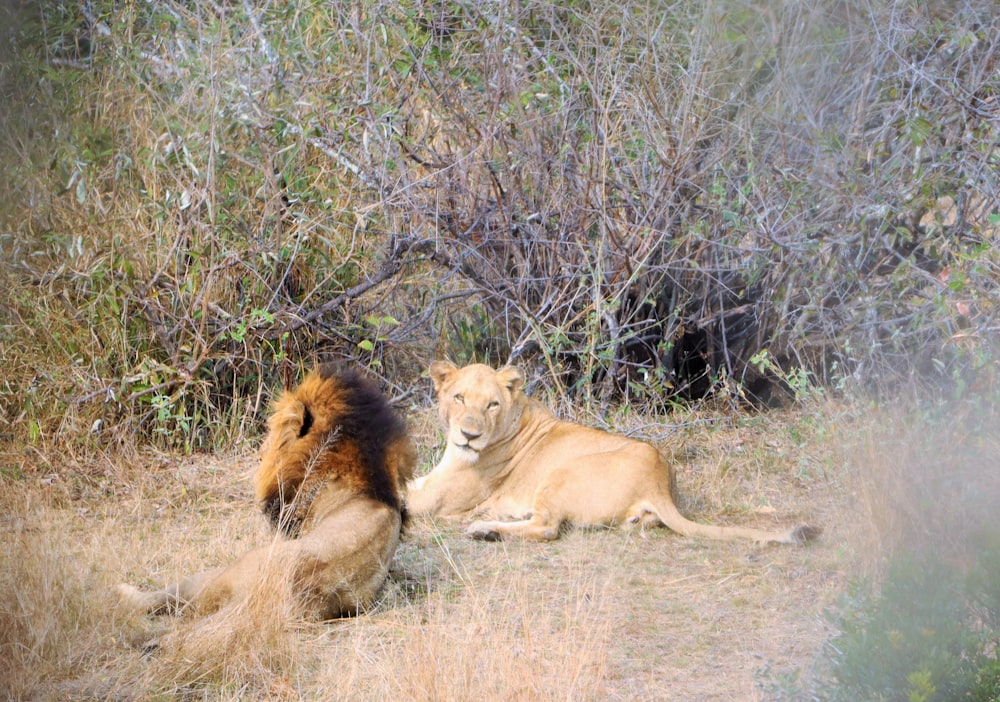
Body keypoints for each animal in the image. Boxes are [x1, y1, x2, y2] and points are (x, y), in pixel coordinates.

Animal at [406, 364, 820, 544]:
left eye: (492, 404)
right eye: (459, 398)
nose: (470, 435)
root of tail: (659, 478)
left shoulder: (436, 498)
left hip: (560, 472)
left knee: (547, 528)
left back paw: (484, 529)